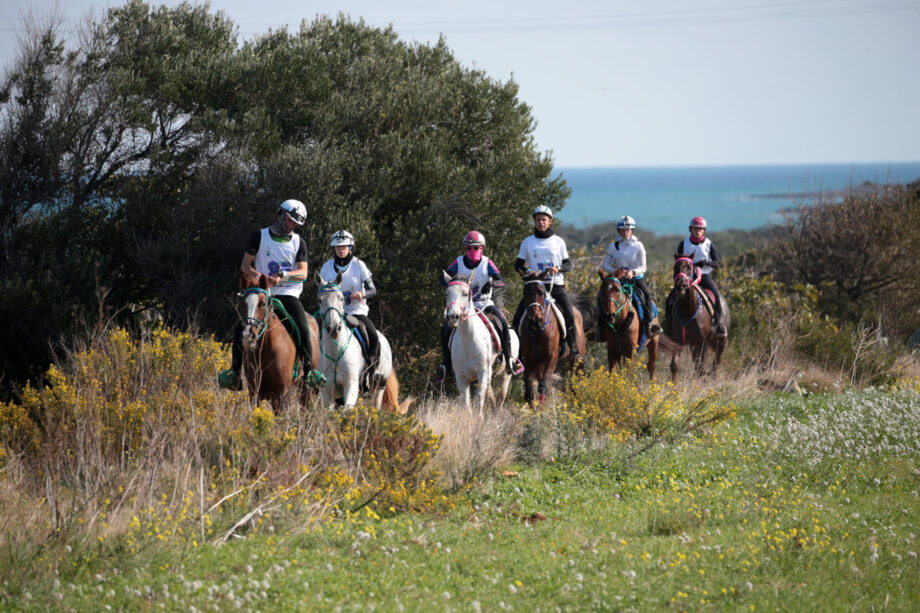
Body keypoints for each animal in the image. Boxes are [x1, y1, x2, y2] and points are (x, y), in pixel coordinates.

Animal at [239, 276, 322, 412]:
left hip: (305, 388)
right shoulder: (254, 392)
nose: (247, 336)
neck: (265, 350)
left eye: (262, 304)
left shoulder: (283, 391)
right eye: (242, 303)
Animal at [444, 272, 520, 416]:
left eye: (465, 293)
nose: (452, 317)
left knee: (501, 397)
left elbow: (480, 396)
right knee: (492, 395)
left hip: (505, 374)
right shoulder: (461, 377)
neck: (467, 340)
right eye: (447, 293)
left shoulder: (483, 372)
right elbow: (466, 402)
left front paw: (479, 419)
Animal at [520, 268, 584, 406]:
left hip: (576, 360)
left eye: (541, 292)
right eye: (525, 292)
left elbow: (543, 386)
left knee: (574, 382)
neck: (537, 331)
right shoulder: (529, 359)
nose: (534, 320)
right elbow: (529, 392)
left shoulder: (552, 357)